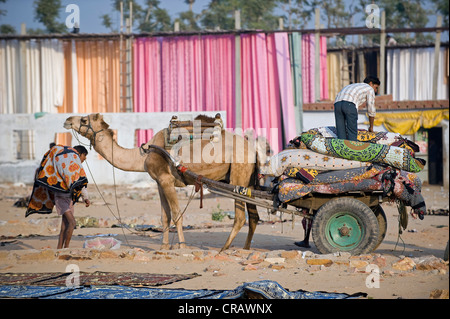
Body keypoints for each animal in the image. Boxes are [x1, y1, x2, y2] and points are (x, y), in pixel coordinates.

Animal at [62, 114, 260, 251]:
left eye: (85, 120)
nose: (67, 120)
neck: (144, 155)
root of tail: (252, 149)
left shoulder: (166, 180)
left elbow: (177, 213)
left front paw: (181, 246)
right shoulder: (158, 182)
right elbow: (165, 216)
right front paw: (164, 247)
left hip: (238, 175)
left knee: (241, 217)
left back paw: (223, 249)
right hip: (248, 181)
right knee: (253, 216)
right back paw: (245, 248)